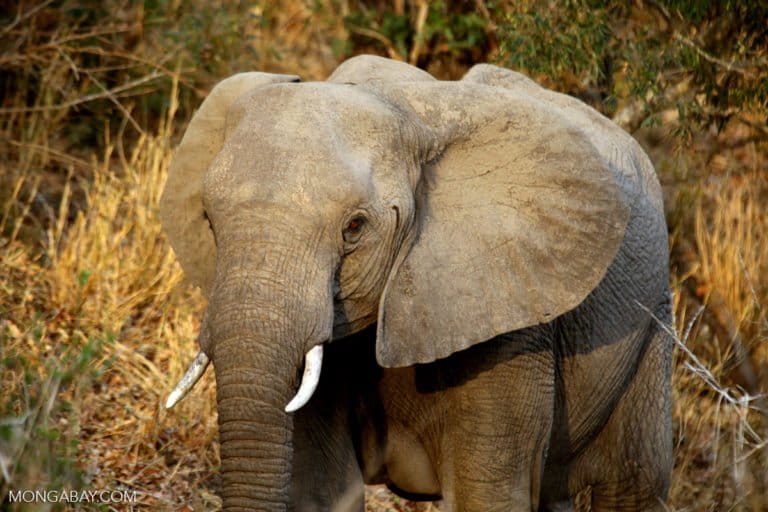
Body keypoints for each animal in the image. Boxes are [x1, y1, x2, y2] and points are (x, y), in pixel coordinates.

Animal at [162, 54, 672, 510]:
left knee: (632, 485)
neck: (405, 113)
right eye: (208, 220)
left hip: (651, 321)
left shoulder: (509, 317)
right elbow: (319, 487)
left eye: (354, 227)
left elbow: (485, 495)